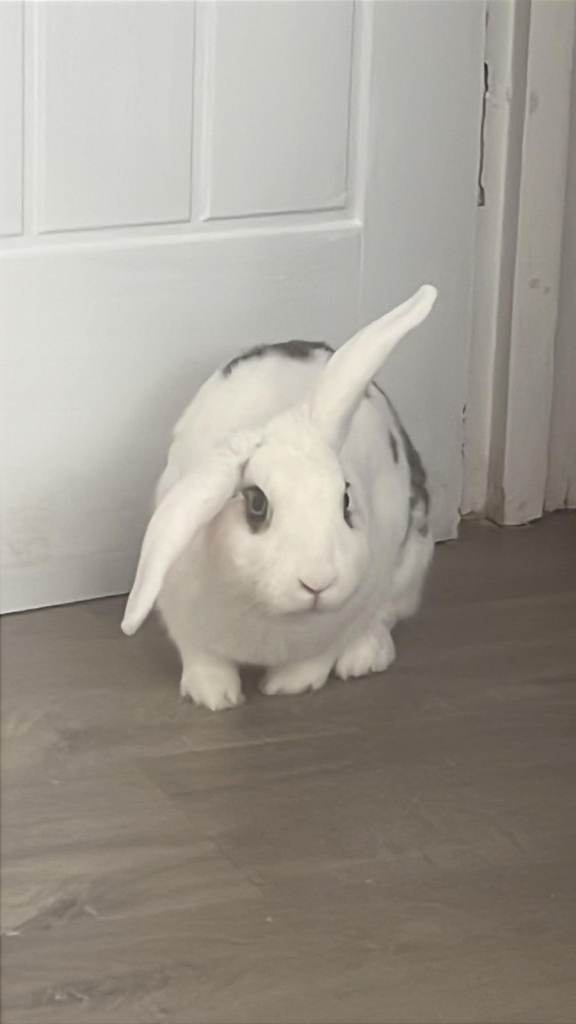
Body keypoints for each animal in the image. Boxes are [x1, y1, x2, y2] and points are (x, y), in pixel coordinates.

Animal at [122, 285, 437, 710]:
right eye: (257, 504)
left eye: (345, 501)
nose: (318, 582)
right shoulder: (186, 624)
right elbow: (203, 659)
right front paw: (215, 697)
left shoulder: (343, 618)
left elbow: (316, 659)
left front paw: (286, 686)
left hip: (409, 567)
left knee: (385, 616)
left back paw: (364, 657)